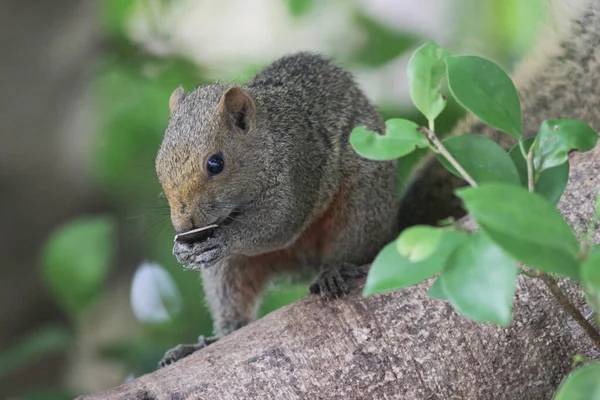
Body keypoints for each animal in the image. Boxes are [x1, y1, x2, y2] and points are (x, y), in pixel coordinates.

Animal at [156, 0, 600, 368]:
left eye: (216, 163)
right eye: (158, 165)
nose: (184, 225)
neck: (268, 137)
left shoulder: (299, 165)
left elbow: (279, 223)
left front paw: (224, 238)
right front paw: (184, 250)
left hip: (359, 209)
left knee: (348, 250)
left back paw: (334, 272)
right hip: (234, 272)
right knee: (233, 307)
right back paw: (207, 342)